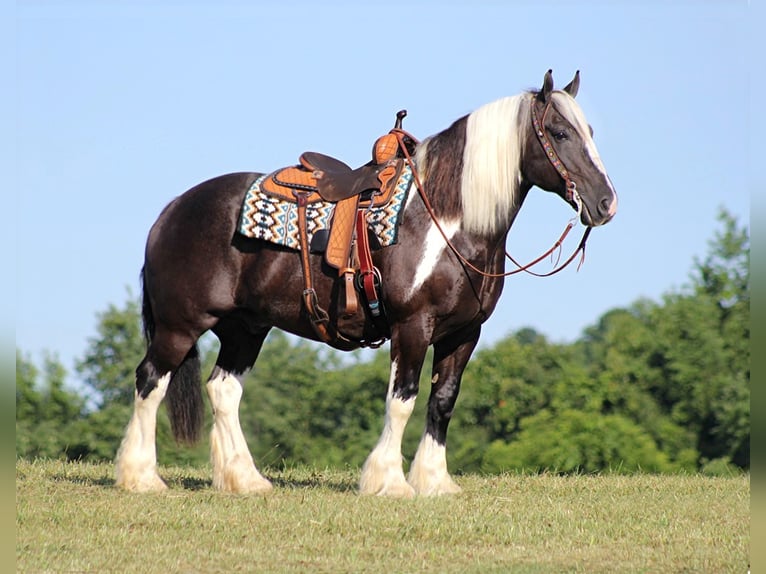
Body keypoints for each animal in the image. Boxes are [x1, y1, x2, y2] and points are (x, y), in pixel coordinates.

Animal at [114, 70, 616, 498]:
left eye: (591, 131)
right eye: (560, 133)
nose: (606, 203)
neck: (446, 221)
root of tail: (174, 209)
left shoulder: (463, 333)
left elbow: (443, 402)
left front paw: (434, 482)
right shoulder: (413, 327)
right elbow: (403, 400)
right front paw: (389, 482)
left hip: (245, 328)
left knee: (223, 390)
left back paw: (245, 480)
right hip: (180, 326)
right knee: (150, 381)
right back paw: (142, 478)